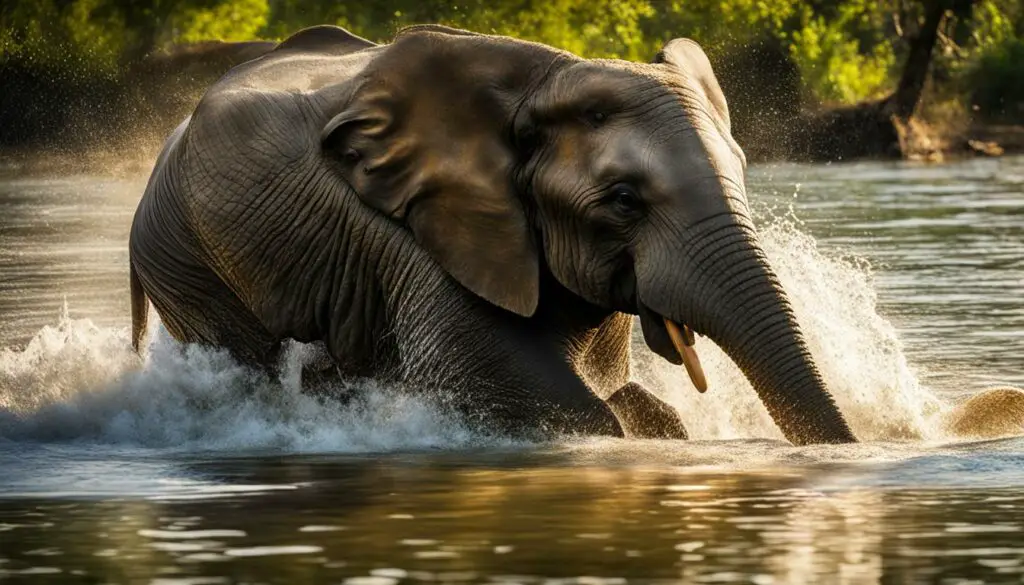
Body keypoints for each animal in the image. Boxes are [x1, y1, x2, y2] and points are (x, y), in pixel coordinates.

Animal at [129, 24, 857, 445]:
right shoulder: (418, 238)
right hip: (183, 261)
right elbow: (514, 384)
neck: (544, 78)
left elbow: (630, 397)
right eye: (623, 200)